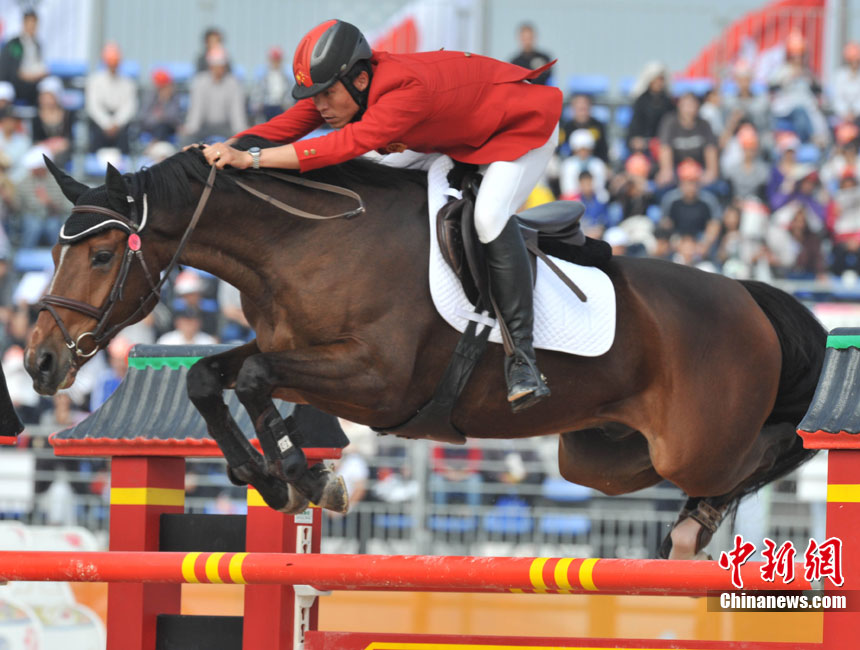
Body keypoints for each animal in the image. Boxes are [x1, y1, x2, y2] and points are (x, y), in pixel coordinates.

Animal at [24, 141, 826, 559]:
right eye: (59, 252)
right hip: (599, 455)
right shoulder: (301, 355)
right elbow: (209, 378)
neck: (301, 241)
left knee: (772, 449)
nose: (40, 362)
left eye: (101, 256)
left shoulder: (376, 381)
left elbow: (250, 377)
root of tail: (749, 296)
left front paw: (309, 480)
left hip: (695, 443)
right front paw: (278, 481)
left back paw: (701, 525)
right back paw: (694, 526)